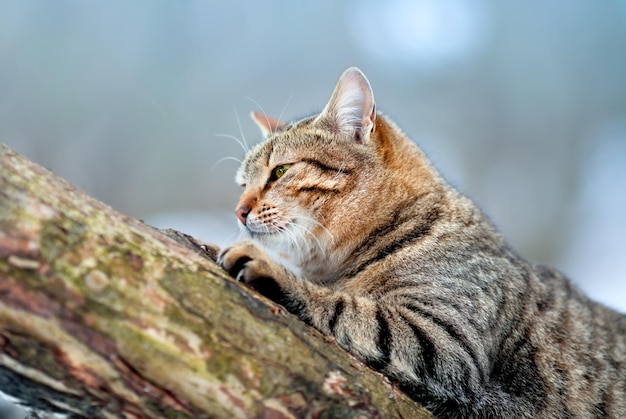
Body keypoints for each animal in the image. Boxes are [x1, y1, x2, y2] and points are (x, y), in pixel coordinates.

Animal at [216, 67, 624, 418]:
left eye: (280, 171)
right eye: (242, 184)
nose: (238, 210)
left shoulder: (446, 345)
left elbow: (348, 310)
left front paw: (269, 268)